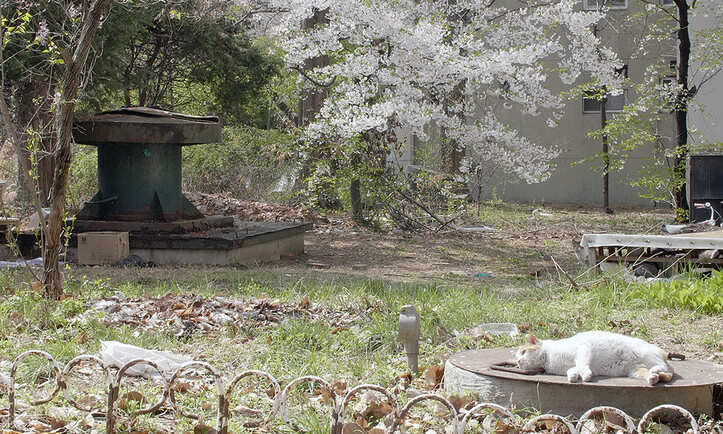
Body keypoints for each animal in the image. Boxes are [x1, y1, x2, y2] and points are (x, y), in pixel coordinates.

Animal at [516, 330, 672, 384]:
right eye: (517, 362)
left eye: (523, 352)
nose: (517, 361)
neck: (548, 360)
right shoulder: (570, 366)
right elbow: (572, 370)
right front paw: (573, 377)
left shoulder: (583, 350)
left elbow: (582, 365)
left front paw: (585, 376)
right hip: (635, 371)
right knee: (654, 374)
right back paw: (653, 378)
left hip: (644, 354)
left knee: (662, 366)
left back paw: (656, 370)